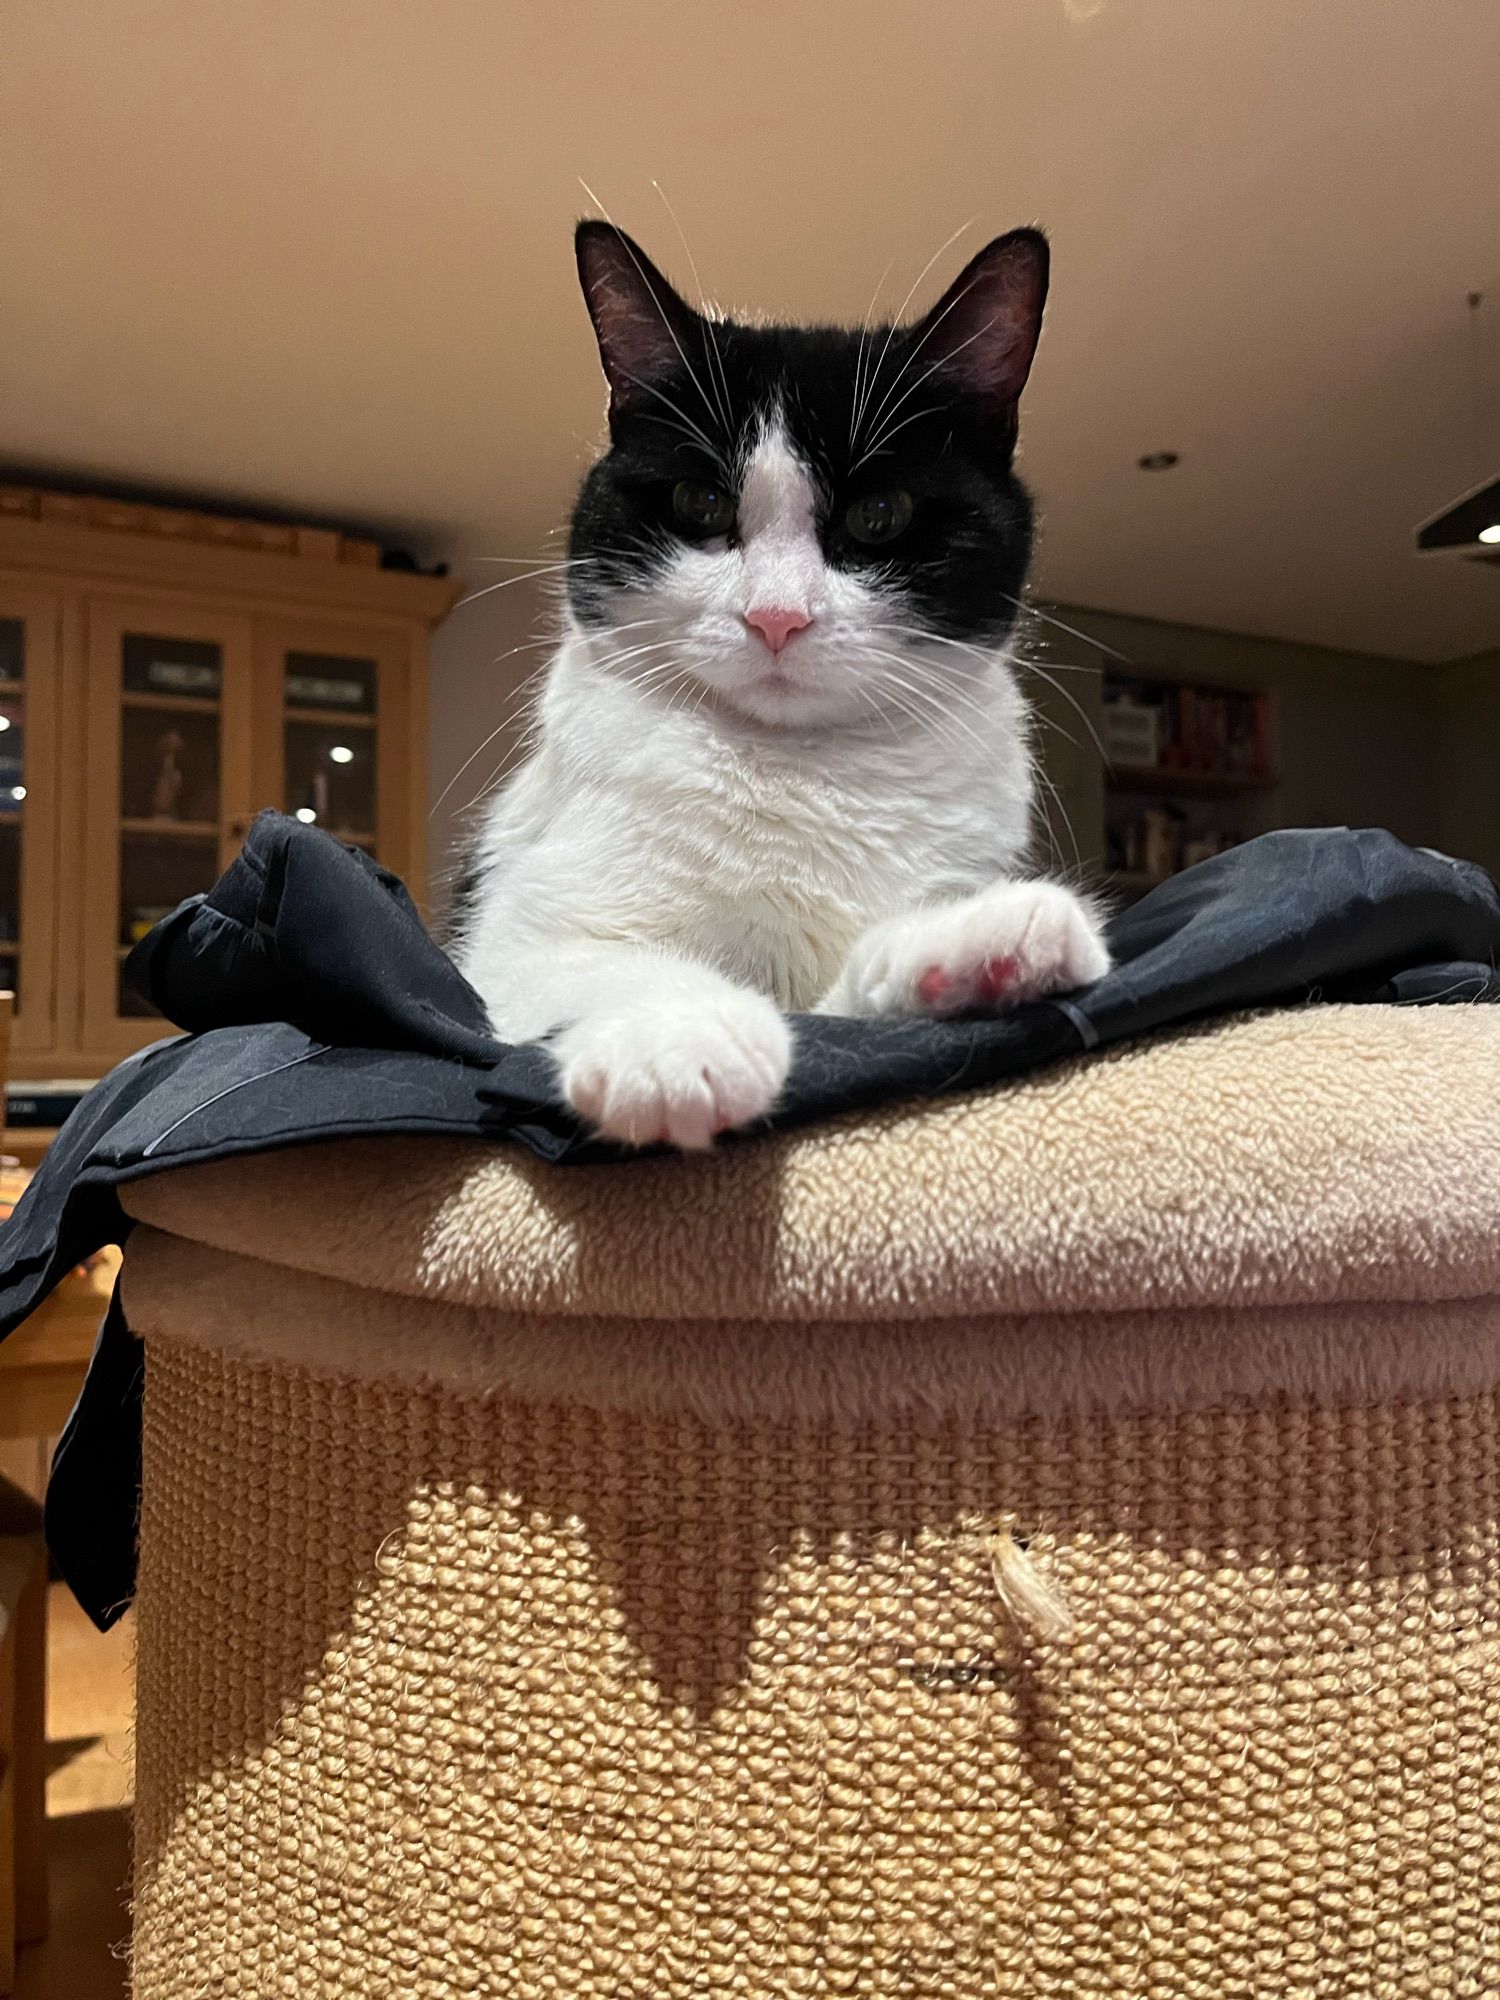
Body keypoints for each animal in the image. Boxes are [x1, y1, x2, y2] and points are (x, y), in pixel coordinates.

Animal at [452, 221, 1112, 1152]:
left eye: (880, 515)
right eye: (700, 502)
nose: (775, 616)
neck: (805, 774)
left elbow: (835, 1012)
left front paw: (969, 946)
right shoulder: (517, 935)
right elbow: (600, 962)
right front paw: (680, 1040)